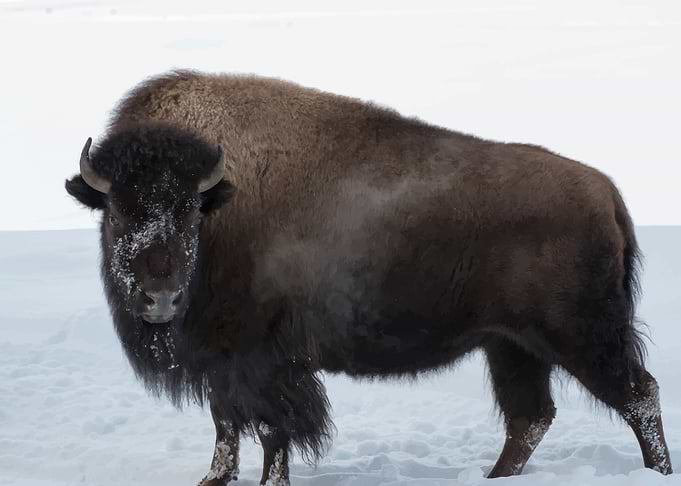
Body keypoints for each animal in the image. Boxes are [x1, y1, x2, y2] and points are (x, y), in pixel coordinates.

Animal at [65, 70, 672, 485]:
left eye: (190, 212)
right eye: (116, 213)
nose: (160, 298)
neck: (221, 203)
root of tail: (607, 193)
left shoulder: (263, 360)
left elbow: (271, 430)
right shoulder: (220, 361)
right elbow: (225, 423)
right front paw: (213, 479)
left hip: (579, 336)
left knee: (637, 394)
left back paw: (656, 473)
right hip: (512, 346)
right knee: (531, 417)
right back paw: (494, 477)